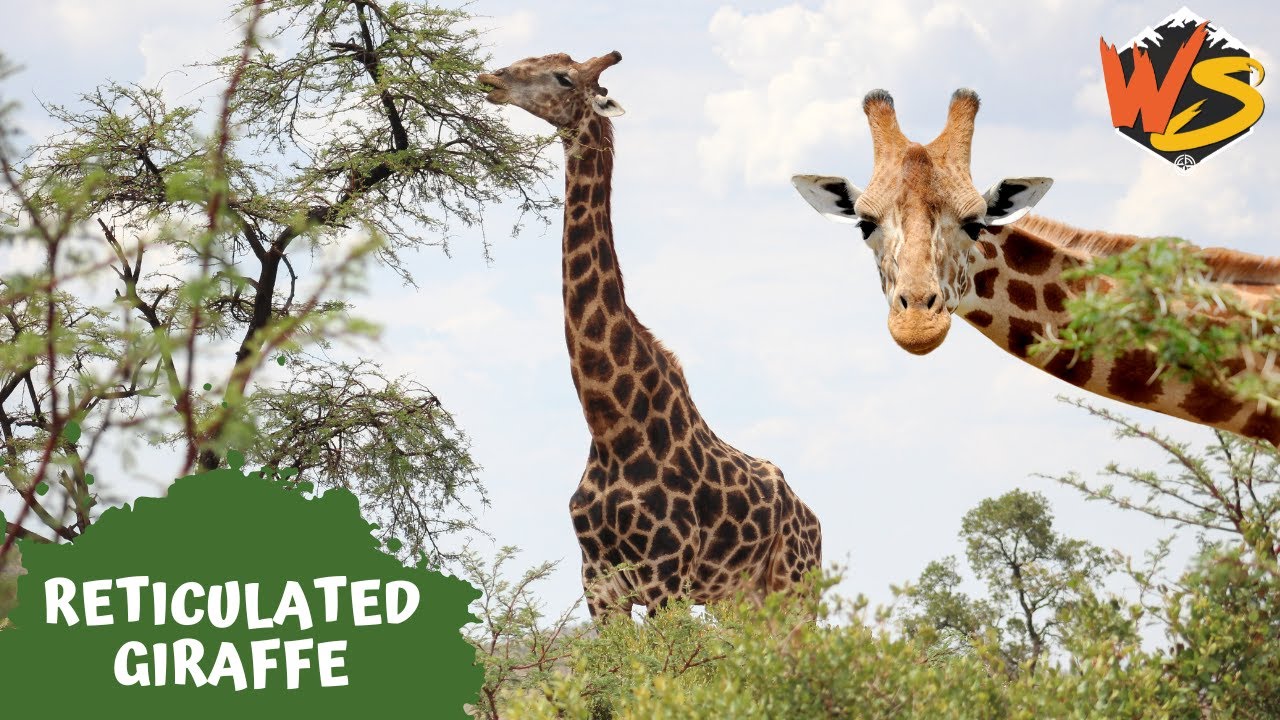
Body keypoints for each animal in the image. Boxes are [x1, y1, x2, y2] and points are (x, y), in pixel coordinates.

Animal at [478, 51, 822, 620]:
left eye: (563, 78)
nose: (491, 78)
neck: (610, 426)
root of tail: (813, 520)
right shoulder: (598, 583)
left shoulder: (666, 578)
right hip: (738, 600)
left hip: (793, 591)